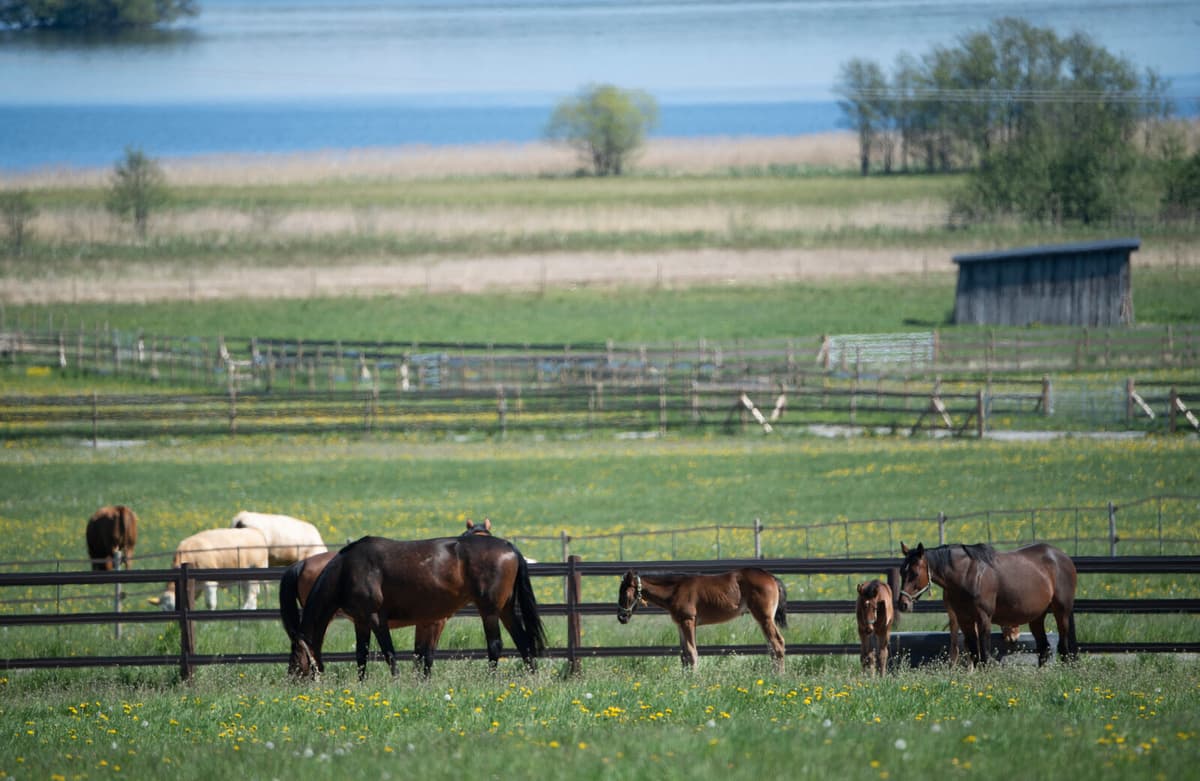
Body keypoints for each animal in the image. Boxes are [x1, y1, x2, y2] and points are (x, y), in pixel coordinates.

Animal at [289, 529, 545, 681]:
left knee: (495, 645)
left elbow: (389, 652)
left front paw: (396, 681)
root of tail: (509, 547)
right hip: (505, 610)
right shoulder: (361, 622)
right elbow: (361, 655)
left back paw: (490, 679)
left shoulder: (375, 618)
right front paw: (361, 683)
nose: (290, 679)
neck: (347, 569)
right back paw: (532, 677)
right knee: (523, 641)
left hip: (489, 610)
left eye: (295, 656)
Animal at [616, 568, 788, 672]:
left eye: (624, 593)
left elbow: (692, 652)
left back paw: (778, 677)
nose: (621, 617)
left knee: (778, 643)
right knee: (771, 647)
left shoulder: (688, 621)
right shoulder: (680, 624)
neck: (675, 590)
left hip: (765, 617)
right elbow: (684, 654)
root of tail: (771, 577)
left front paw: (694, 681)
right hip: (762, 619)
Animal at [897, 541, 1078, 667]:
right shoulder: (964, 619)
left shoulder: (984, 618)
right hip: (1036, 617)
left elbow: (984, 654)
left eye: (914, 573)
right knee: (1044, 648)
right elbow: (974, 653)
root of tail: (1063, 557)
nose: (902, 604)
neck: (967, 575)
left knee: (1064, 647)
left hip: (1062, 612)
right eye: (901, 572)